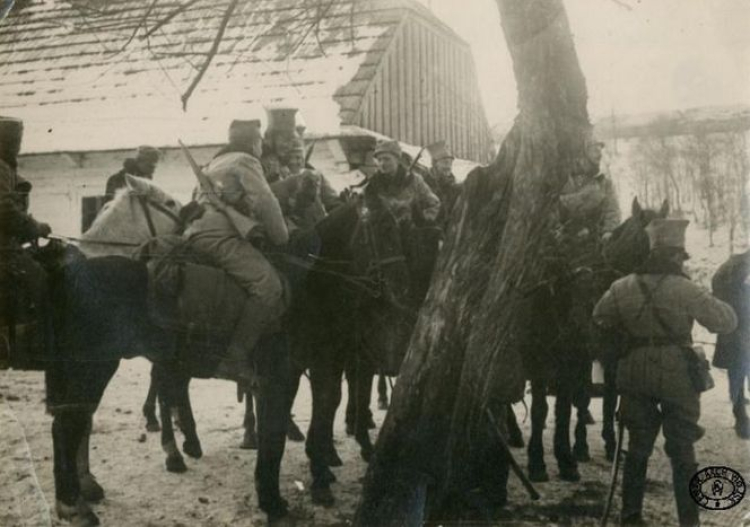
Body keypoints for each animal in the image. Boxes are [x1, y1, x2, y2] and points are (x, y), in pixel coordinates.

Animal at [520, 200, 672, 484]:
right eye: (645, 239)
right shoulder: (543, 358)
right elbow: (543, 408)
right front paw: (539, 461)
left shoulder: (603, 356)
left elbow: (597, 402)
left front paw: (586, 452)